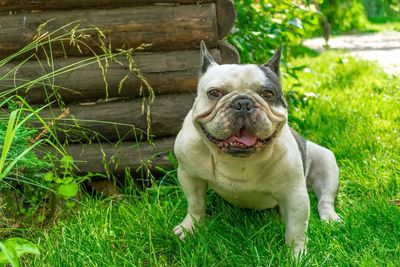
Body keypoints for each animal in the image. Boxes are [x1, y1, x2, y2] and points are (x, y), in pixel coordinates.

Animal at [173, 42, 340, 258]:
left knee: (325, 199)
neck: (237, 160)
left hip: (327, 163)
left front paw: (296, 254)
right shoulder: (189, 175)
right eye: (214, 93)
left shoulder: (295, 194)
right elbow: (195, 204)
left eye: (268, 94)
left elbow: (296, 228)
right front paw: (189, 227)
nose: (243, 102)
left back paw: (330, 218)